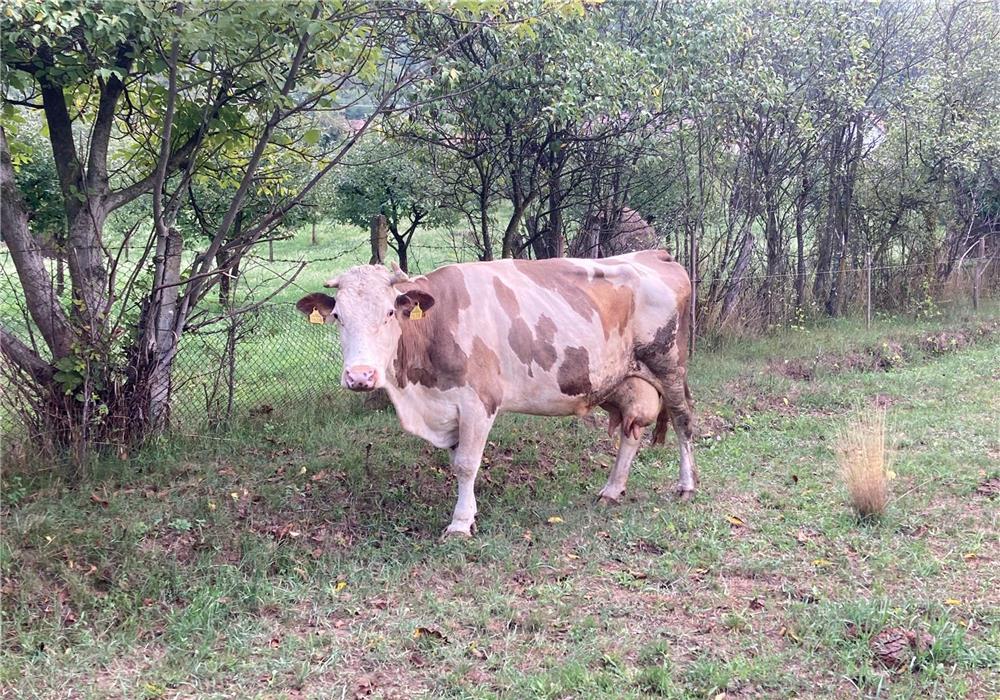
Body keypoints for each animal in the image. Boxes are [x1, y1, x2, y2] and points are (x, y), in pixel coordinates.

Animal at [296, 250, 696, 537]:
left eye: (390, 312)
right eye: (338, 317)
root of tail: (654, 254)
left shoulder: (478, 402)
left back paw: (686, 485)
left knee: (683, 421)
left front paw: (459, 524)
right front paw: (469, 513)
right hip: (627, 380)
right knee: (632, 431)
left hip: (669, 366)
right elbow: (458, 462)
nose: (360, 375)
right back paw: (612, 489)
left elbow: (466, 464)